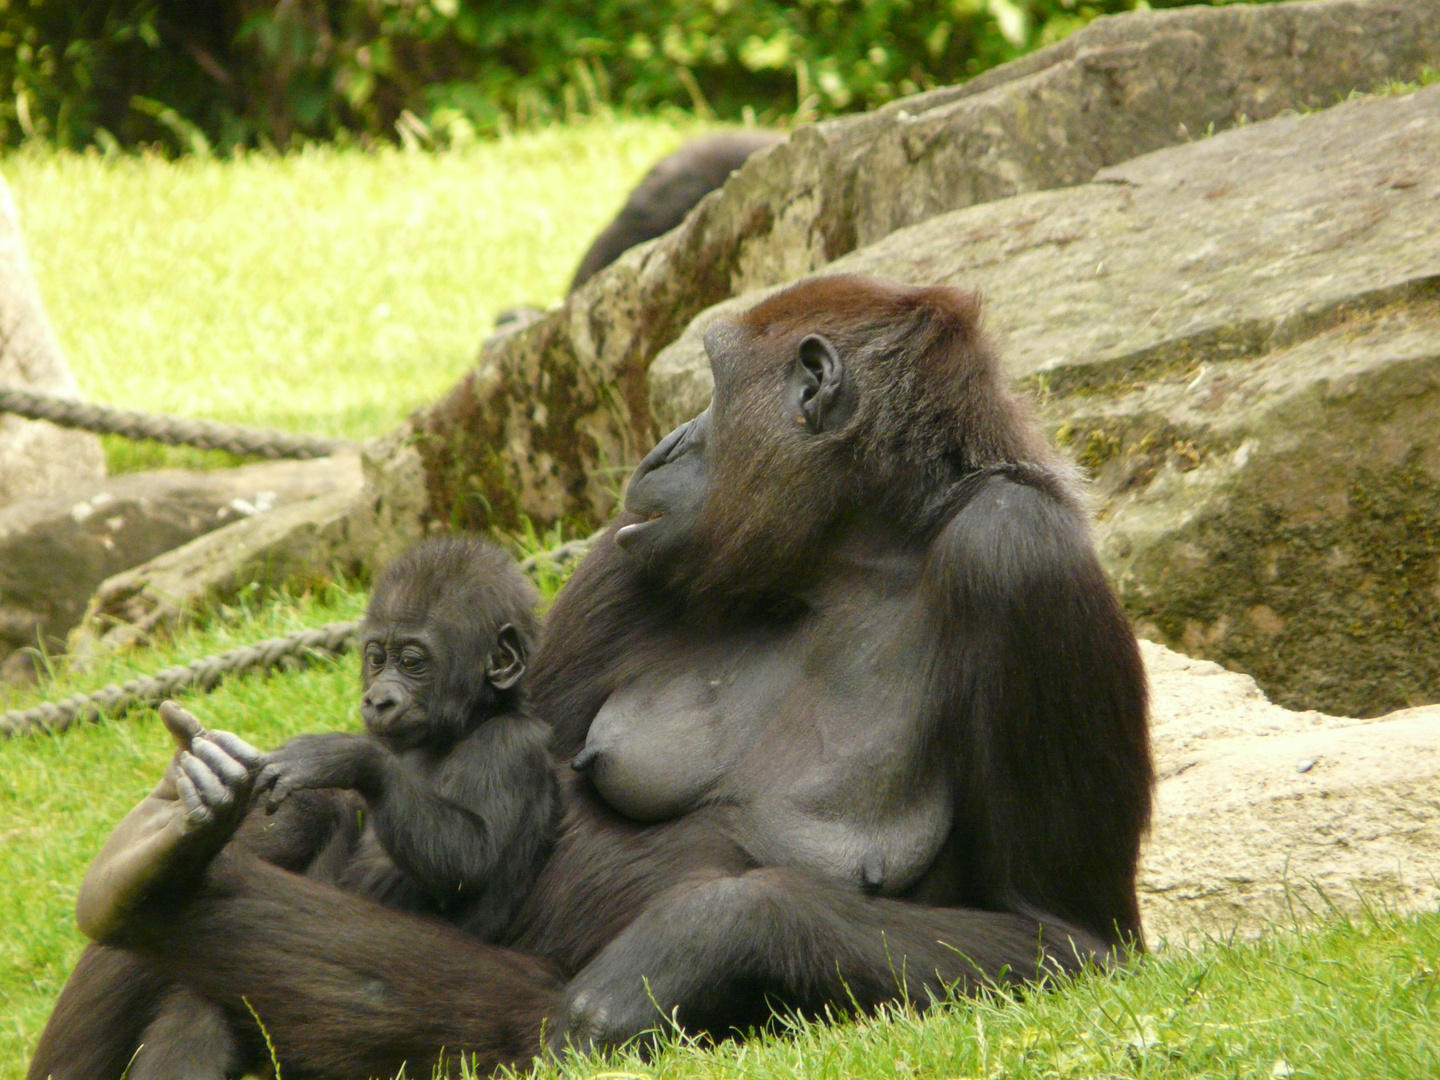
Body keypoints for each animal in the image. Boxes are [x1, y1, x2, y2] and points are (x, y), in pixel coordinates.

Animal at [126, 541, 552, 1080]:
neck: (463, 724)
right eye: (376, 658)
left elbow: (468, 859)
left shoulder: (513, 746)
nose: (378, 698)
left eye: (412, 662)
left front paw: (345, 757)